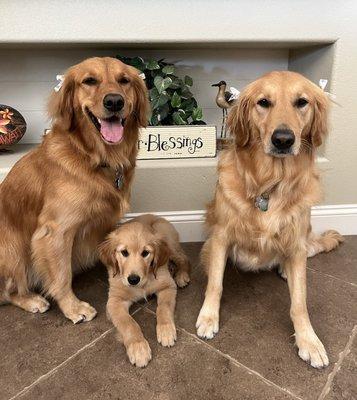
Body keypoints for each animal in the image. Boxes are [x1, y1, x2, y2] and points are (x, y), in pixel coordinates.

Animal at [0, 56, 148, 324]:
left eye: (124, 80)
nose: (114, 101)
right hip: (12, 248)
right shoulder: (54, 231)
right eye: (89, 81)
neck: (92, 157)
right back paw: (32, 300)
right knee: (7, 292)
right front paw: (73, 307)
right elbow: (61, 275)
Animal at [98, 214, 191, 368]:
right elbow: (129, 323)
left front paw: (166, 329)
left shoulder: (167, 286)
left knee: (184, 258)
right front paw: (138, 348)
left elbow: (163, 308)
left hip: (169, 242)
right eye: (124, 252)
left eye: (145, 253)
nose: (133, 279)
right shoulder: (114, 301)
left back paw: (181, 275)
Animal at [196, 71, 344, 368]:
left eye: (302, 102)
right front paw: (208, 317)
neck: (270, 182)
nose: (283, 139)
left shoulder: (296, 244)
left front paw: (308, 340)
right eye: (264, 102)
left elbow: (300, 302)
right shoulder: (221, 235)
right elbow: (215, 284)